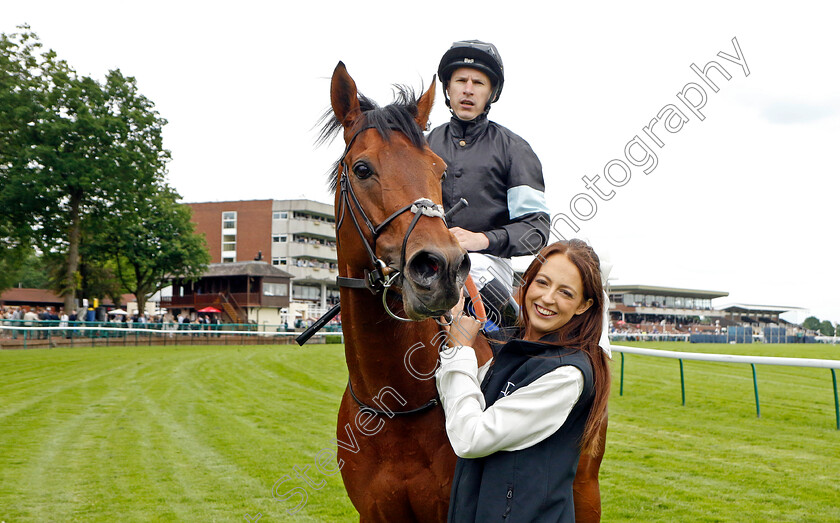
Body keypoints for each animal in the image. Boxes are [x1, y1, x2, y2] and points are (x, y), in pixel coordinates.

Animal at [320, 62, 604, 523]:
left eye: (437, 169)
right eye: (362, 169)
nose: (442, 266)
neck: (399, 402)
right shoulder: (376, 513)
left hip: (586, 489)